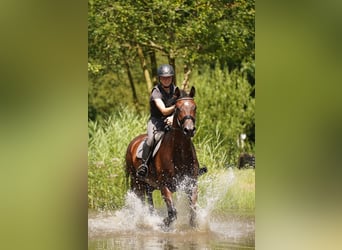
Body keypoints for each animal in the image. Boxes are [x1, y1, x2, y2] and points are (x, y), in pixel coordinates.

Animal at [125, 87, 200, 228]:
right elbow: (172, 212)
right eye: (177, 108)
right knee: (139, 200)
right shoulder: (164, 185)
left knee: (149, 201)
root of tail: (133, 142)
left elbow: (192, 210)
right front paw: (164, 223)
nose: (189, 130)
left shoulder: (191, 184)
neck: (179, 153)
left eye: (195, 107)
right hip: (136, 182)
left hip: (149, 185)